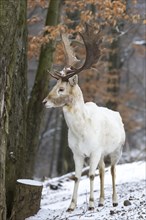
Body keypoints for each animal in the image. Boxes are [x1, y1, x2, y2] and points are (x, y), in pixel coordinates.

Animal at [42, 24, 125, 211]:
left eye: (61, 89)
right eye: (55, 85)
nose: (44, 102)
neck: (82, 132)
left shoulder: (95, 150)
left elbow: (91, 175)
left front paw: (91, 204)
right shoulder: (77, 153)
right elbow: (78, 176)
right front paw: (71, 206)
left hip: (117, 149)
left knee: (113, 170)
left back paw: (114, 200)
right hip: (103, 153)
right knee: (102, 170)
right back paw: (102, 200)